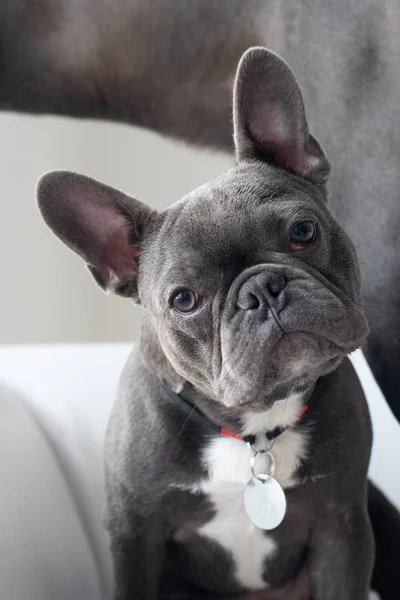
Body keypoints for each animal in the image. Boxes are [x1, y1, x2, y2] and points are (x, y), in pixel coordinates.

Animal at [36, 48, 374, 600]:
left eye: (304, 231)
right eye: (184, 300)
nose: (261, 292)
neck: (254, 434)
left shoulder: (342, 527)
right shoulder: (135, 535)